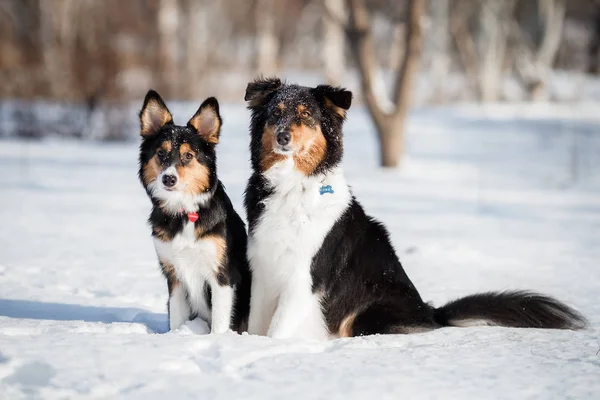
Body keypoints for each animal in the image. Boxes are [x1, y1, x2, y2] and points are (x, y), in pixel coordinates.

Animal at [138, 90, 251, 332]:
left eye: (188, 155)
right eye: (161, 153)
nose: (168, 179)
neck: (184, 212)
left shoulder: (222, 276)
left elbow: (219, 323)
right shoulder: (175, 276)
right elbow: (177, 319)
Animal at [243, 79, 584, 340]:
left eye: (306, 115)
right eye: (276, 113)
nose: (282, 137)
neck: (292, 186)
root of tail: (431, 313)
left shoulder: (305, 277)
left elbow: (277, 329)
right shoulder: (263, 271)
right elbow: (256, 324)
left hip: (366, 314)